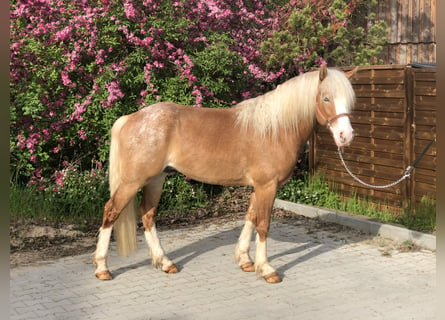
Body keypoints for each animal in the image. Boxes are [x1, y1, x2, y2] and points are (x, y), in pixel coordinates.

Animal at [93, 64, 358, 282]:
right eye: (326, 98)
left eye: (349, 101)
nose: (345, 136)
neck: (275, 129)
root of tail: (130, 118)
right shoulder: (267, 186)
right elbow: (263, 224)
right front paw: (266, 269)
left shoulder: (258, 187)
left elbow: (250, 218)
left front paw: (245, 260)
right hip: (133, 181)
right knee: (111, 211)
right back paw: (102, 268)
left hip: (156, 179)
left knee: (147, 215)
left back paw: (165, 262)